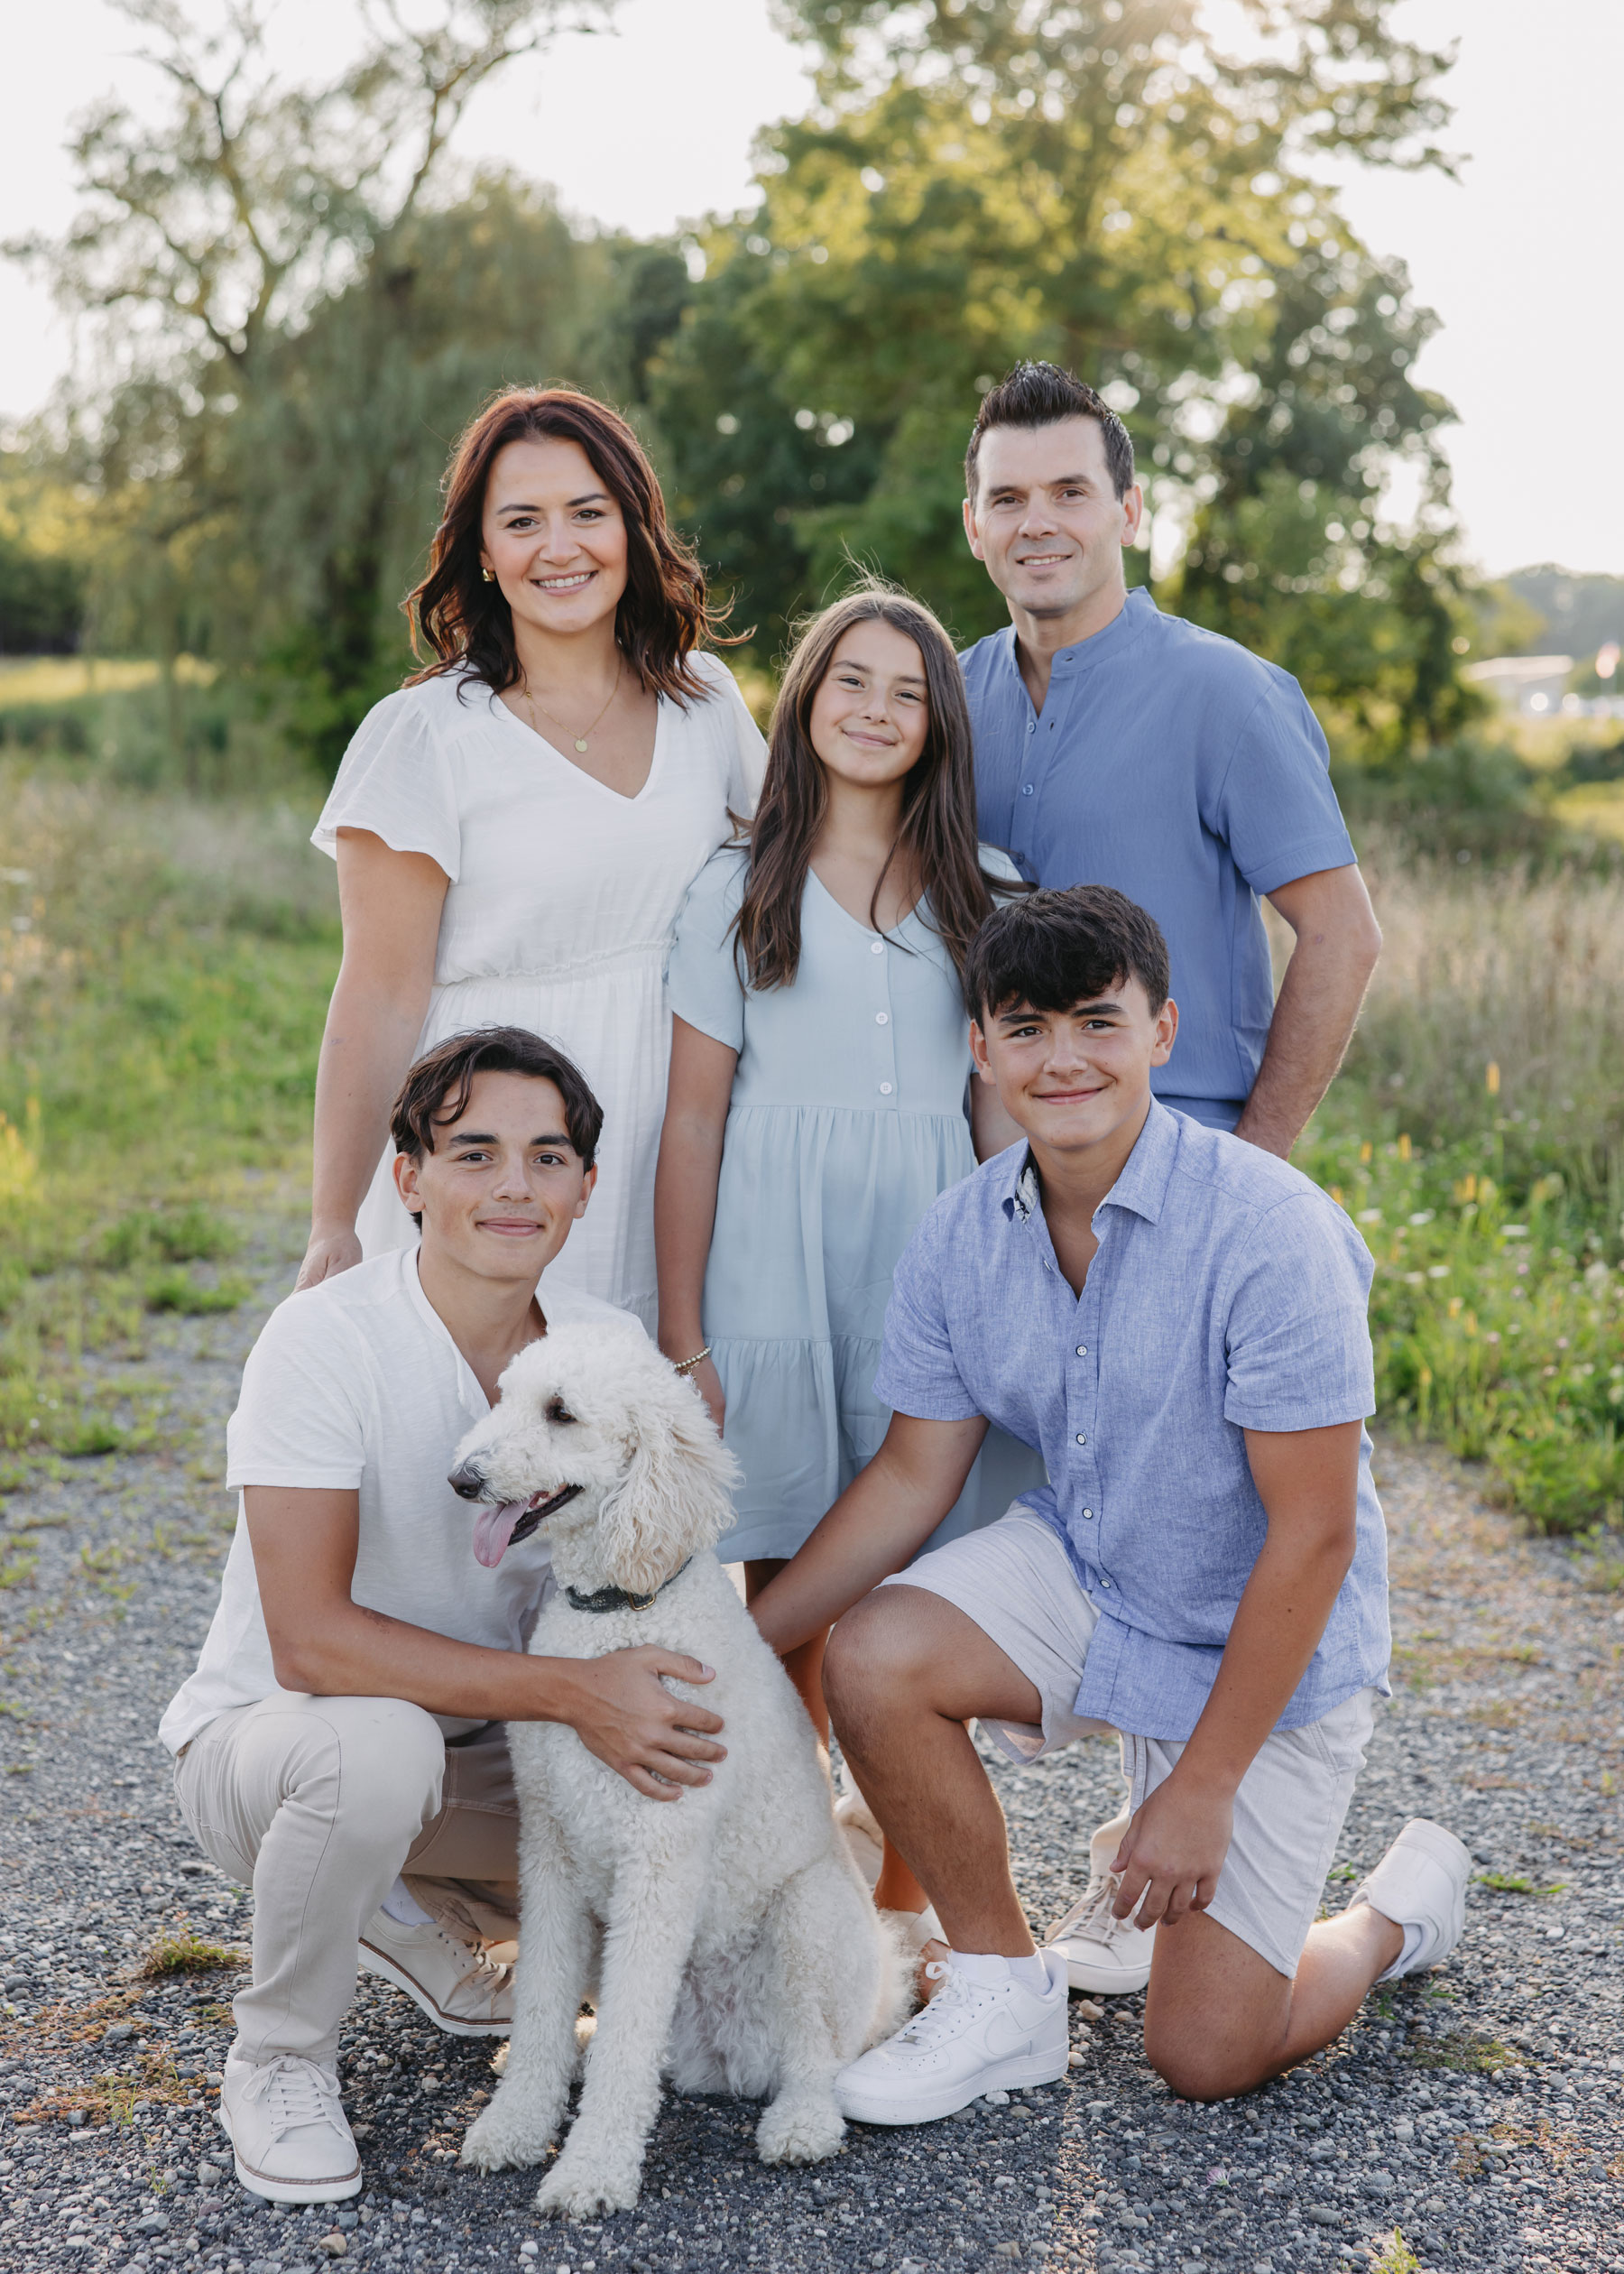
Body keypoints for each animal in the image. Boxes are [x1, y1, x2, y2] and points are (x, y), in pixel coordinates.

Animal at [447, 1321, 907, 2218]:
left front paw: (591, 2172)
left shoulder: (658, 1860)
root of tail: (724, 2060)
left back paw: (801, 2123)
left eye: (561, 1412)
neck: (620, 1616)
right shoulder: (550, 1850)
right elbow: (544, 2001)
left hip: (811, 1923)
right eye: (506, 1396)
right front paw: (514, 2124)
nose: (462, 1479)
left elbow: (630, 2036)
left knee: (815, 2057)